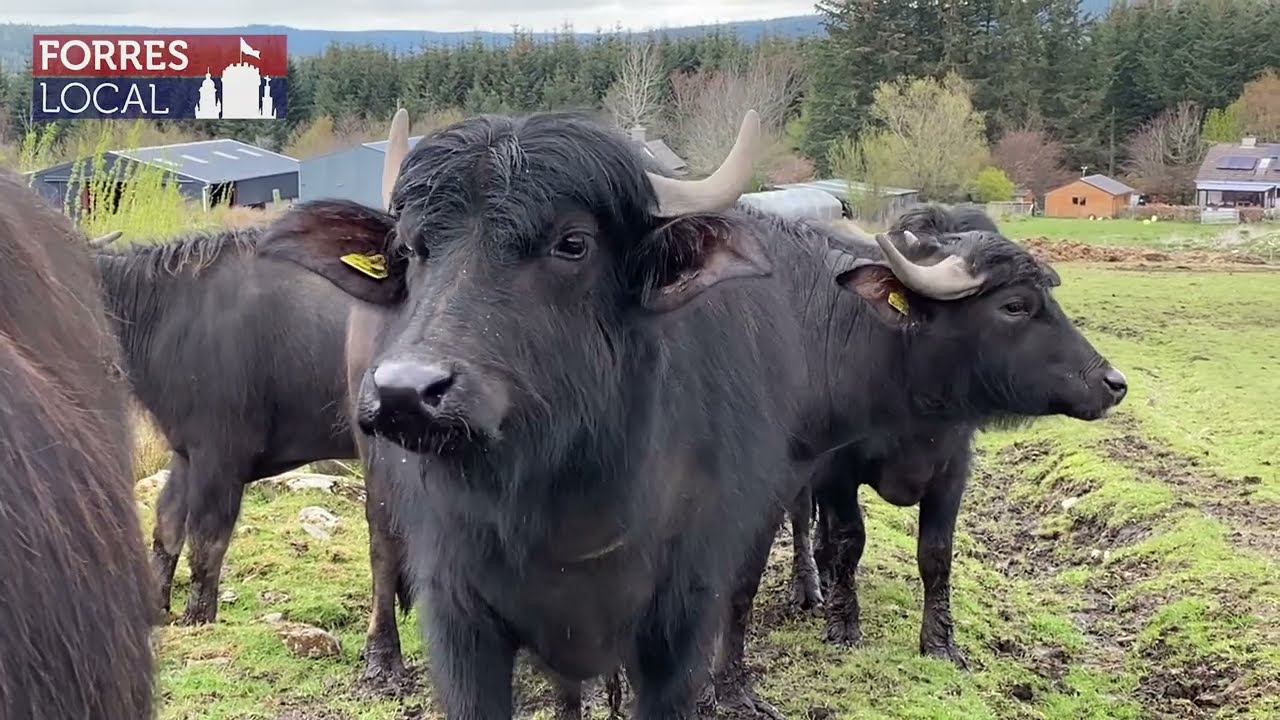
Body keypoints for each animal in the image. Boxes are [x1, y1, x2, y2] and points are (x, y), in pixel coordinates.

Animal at [258, 108, 809, 719]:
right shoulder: (459, 616)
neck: (563, 499)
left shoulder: (682, 617)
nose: (405, 391)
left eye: (572, 243)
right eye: (410, 248)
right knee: (382, 551)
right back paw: (382, 663)